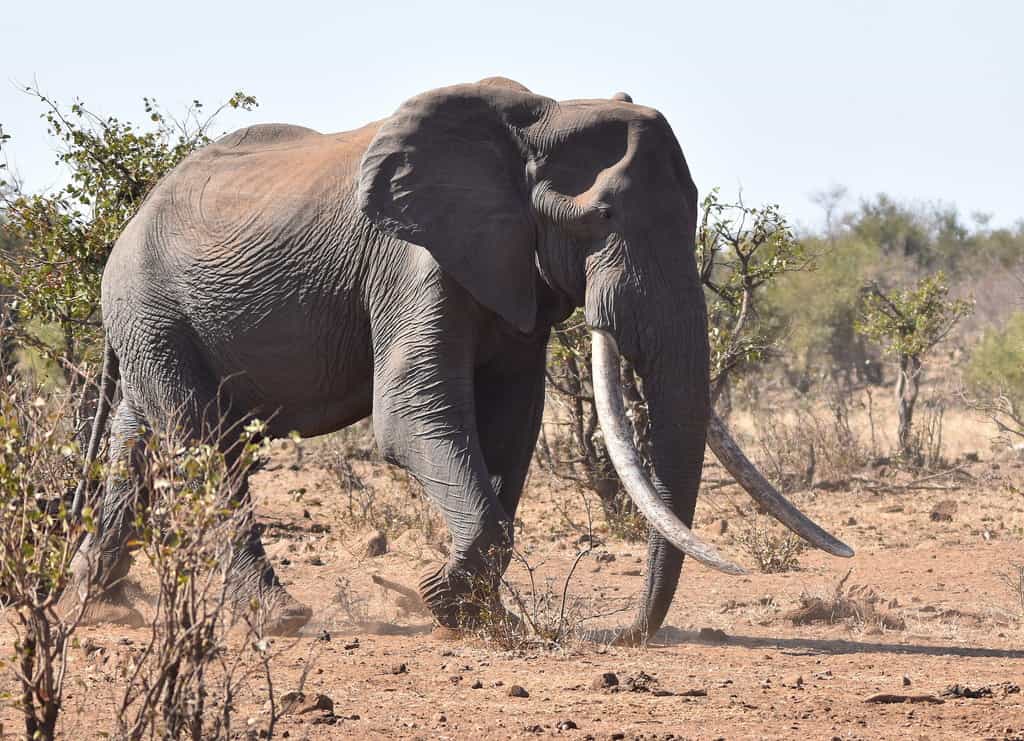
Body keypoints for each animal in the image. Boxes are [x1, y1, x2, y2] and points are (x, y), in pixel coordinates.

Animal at [67, 77, 852, 643]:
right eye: (603, 217)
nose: (624, 633)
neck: (540, 117)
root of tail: (128, 221)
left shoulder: (511, 267)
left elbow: (512, 421)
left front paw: (480, 616)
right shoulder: (409, 257)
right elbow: (409, 414)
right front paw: (442, 601)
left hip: (148, 322)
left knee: (139, 440)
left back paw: (105, 606)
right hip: (153, 305)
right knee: (204, 444)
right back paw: (277, 618)